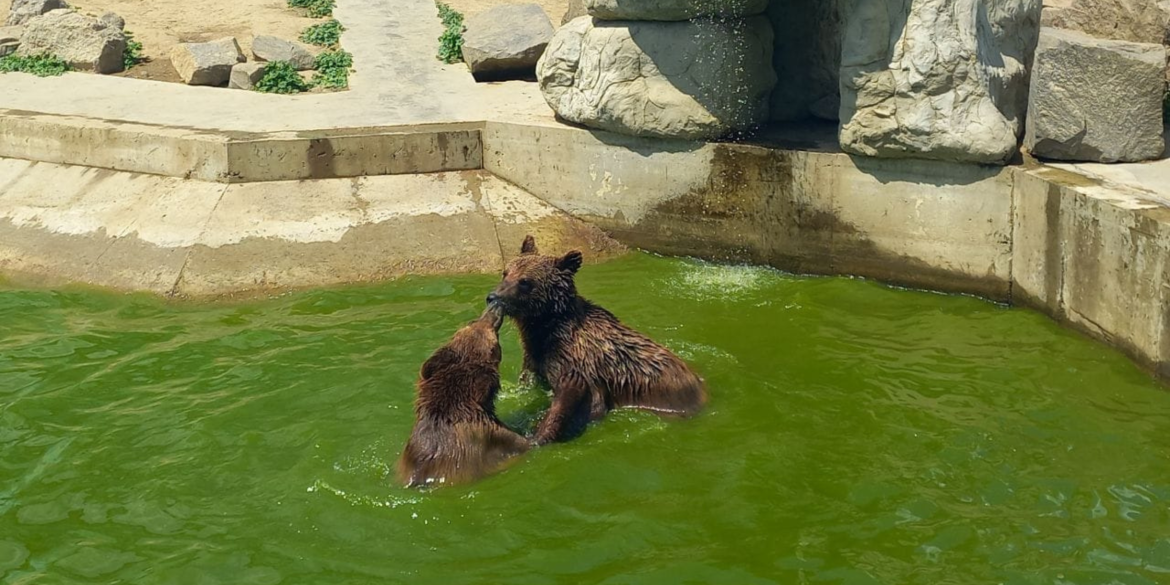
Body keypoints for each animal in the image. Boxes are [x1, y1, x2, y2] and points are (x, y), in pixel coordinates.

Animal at [486, 233, 706, 442]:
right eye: (506, 272)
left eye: (525, 281)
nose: (493, 297)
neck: (548, 328)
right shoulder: (536, 357)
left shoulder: (580, 365)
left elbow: (588, 404)